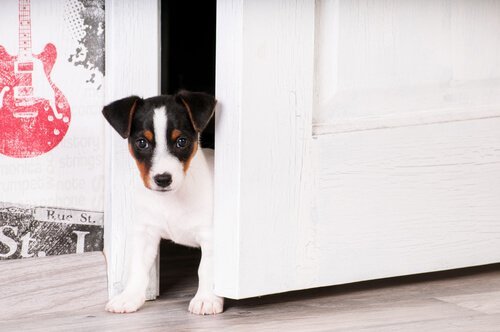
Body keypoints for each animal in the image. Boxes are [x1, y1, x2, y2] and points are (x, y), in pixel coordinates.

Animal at [101, 90, 223, 314]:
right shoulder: (146, 232)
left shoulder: (211, 235)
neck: (171, 200)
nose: (163, 179)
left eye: (182, 141)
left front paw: (207, 299)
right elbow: (138, 267)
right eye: (142, 143)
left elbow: (206, 269)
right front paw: (129, 296)